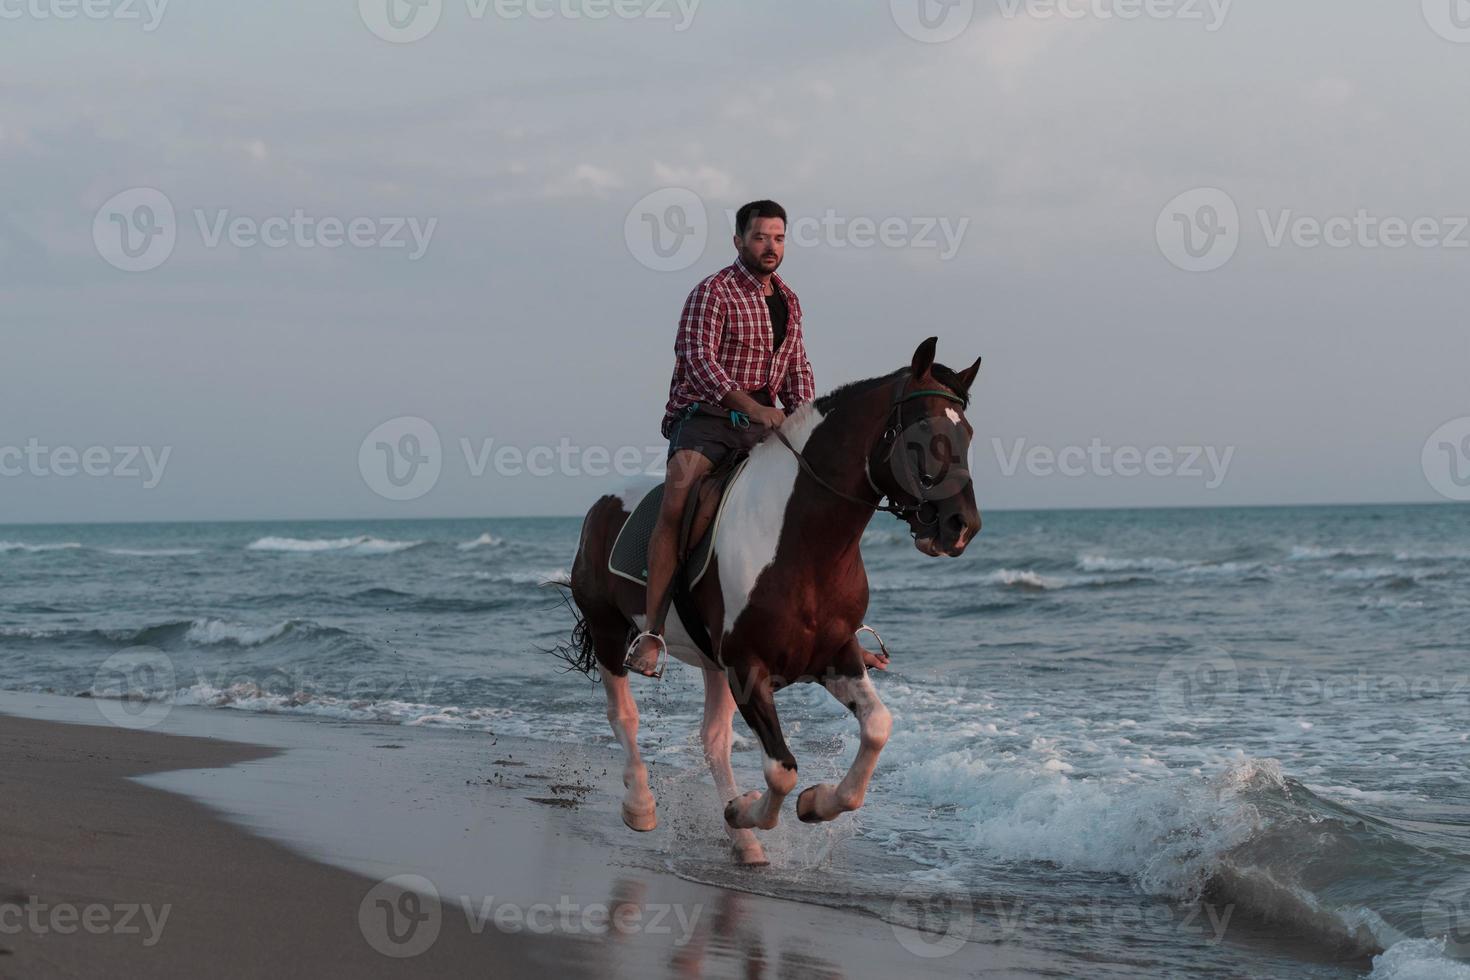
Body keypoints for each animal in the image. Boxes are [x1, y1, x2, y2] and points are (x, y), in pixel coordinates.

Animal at [555, 337, 981, 863]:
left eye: (968, 435)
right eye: (921, 435)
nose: (961, 526)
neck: (802, 544)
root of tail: (601, 506)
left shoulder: (833, 656)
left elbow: (878, 726)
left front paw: (813, 804)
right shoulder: (748, 668)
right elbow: (781, 769)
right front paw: (749, 809)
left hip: (710, 662)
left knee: (713, 740)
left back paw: (745, 844)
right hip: (611, 632)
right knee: (625, 716)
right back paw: (642, 806)